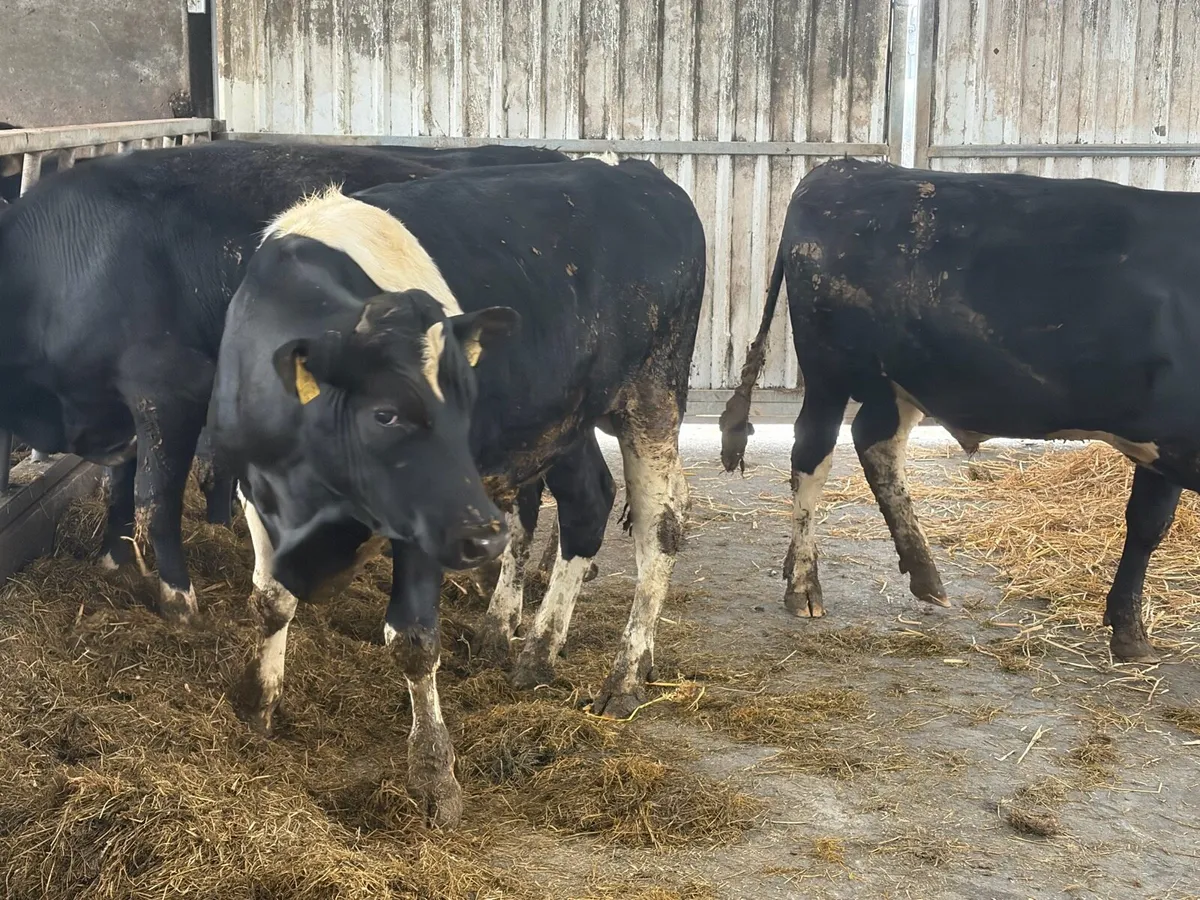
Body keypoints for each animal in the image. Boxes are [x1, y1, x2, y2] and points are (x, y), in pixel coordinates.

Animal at [207, 157, 705, 826]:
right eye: (387, 415)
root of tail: (641, 173)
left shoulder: (426, 519)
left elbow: (414, 640)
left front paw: (434, 777)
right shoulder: (256, 493)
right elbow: (269, 600)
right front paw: (258, 706)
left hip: (653, 392)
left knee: (660, 523)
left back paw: (624, 677)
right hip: (560, 416)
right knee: (588, 502)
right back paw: (531, 648)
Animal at [720, 157, 1200, 665]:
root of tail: (843, 167)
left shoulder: (1165, 441)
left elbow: (1148, 524)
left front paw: (1128, 628)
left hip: (901, 378)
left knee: (877, 443)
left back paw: (923, 574)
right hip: (828, 370)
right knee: (812, 457)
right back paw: (805, 585)